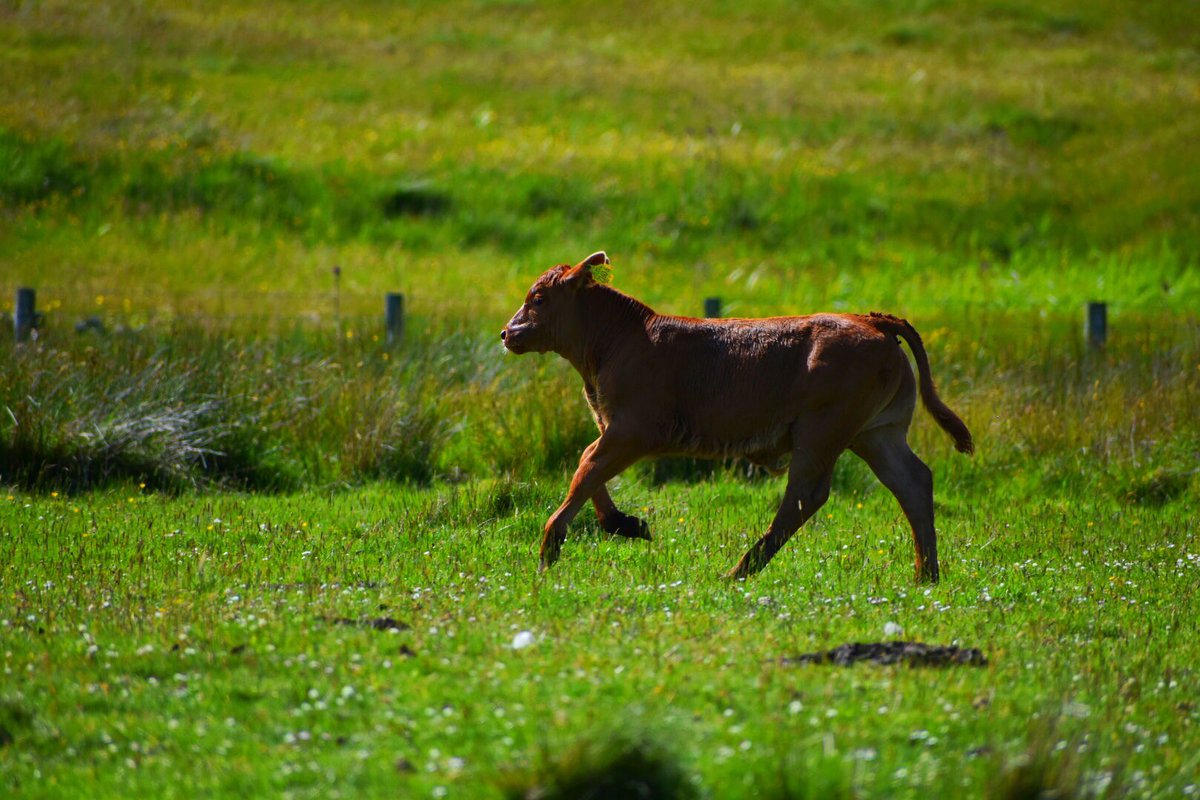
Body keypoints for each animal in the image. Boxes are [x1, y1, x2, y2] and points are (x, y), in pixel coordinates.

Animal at [500, 251, 973, 583]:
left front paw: (549, 549)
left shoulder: (632, 430)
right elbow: (589, 468)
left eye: (538, 298)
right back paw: (925, 576)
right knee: (912, 482)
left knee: (805, 496)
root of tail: (871, 321)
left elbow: (585, 467)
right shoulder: (613, 430)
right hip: (876, 433)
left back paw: (737, 571)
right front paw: (626, 524)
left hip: (822, 433)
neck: (623, 338)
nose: (507, 332)